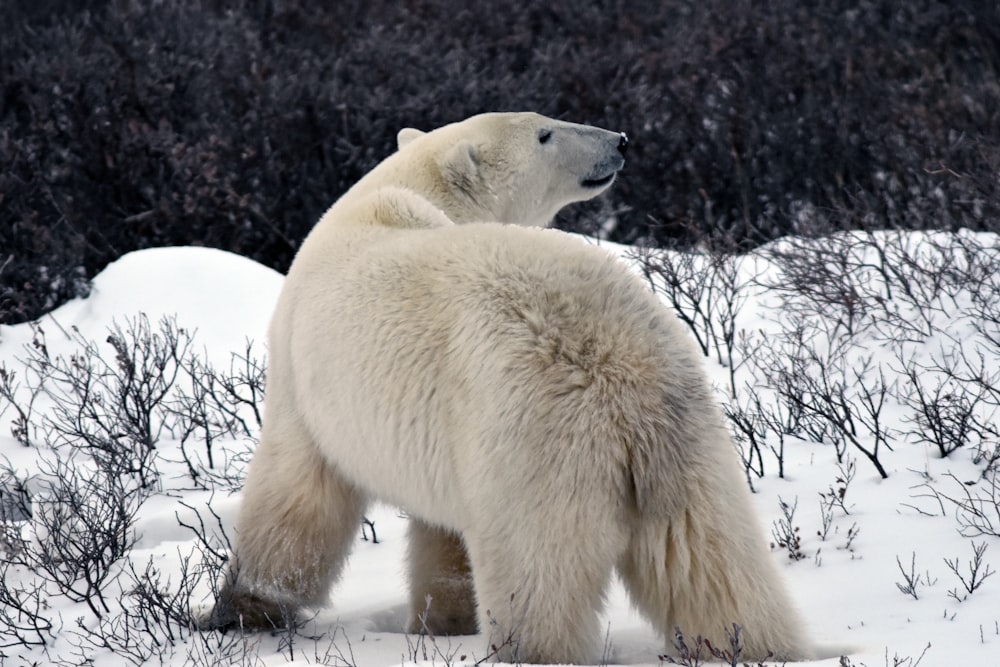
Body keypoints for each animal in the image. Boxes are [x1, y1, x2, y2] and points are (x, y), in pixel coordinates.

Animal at [197, 112, 812, 664]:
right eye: (545, 131)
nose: (619, 139)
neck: (408, 192)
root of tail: (622, 367)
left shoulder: (302, 376)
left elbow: (295, 492)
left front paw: (239, 610)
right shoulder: (442, 428)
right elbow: (443, 537)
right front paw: (442, 621)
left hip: (534, 441)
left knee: (537, 577)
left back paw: (525, 651)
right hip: (688, 437)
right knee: (710, 560)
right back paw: (759, 646)